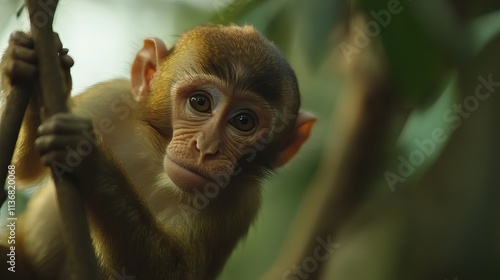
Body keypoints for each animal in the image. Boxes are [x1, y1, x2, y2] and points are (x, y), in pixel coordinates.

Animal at [0, 25, 316, 278]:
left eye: (243, 121)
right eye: (200, 102)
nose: (205, 147)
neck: (156, 161)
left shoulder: (241, 202)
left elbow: (172, 271)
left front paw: (89, 157)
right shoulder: (110, 98)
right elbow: (26, 169)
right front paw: (30, 64)